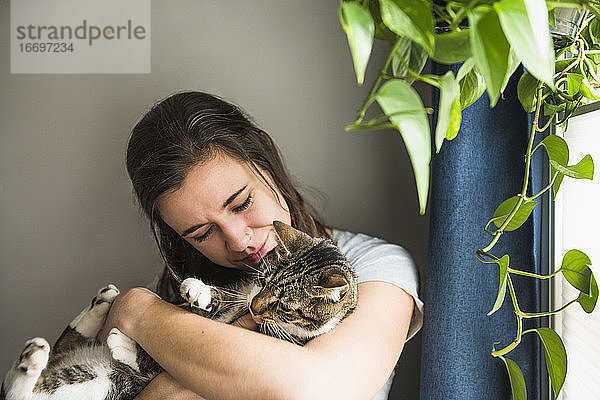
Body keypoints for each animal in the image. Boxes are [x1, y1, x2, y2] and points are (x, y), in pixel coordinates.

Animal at [1, 222, 356, 400]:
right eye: (264, 278)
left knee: (22, 392)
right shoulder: (242, 295)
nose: (255, 308)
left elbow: (153, 362)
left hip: (102, 386)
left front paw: (124, 344)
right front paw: (199, 291)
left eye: (283, 306)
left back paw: (33, 357)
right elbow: (221, 298)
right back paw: (99, 304)